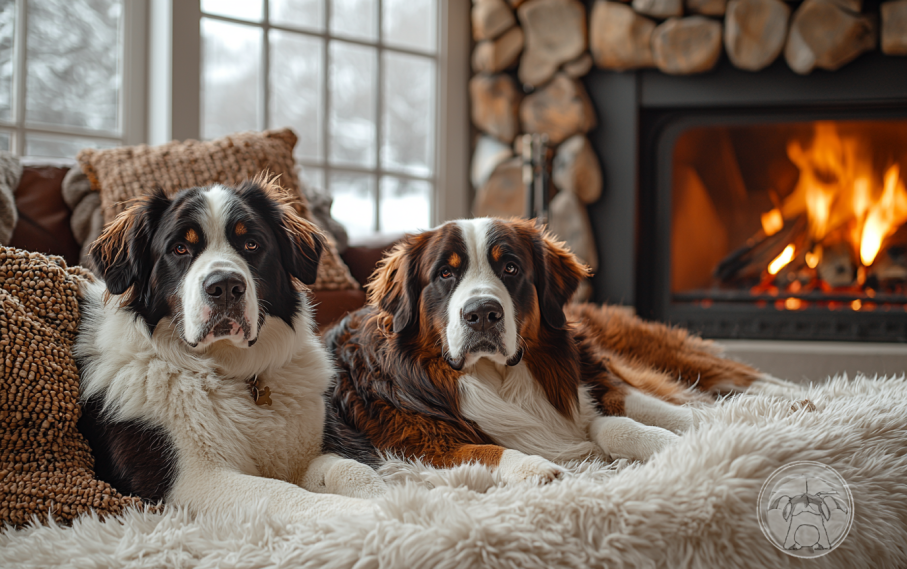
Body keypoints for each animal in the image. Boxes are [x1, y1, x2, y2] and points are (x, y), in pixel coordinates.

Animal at [76, 178, 384, 520]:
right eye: (179, 248)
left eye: (251, 244)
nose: (224, 286)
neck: (232, 371)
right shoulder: (194, 480)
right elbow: (285, 494)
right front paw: (378, 514)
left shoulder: (315, 449)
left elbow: (352, 469)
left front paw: (393, 498)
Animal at [326, 215, 788, 482]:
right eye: (444, 274)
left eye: (510, 268)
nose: (482, 314)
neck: (501, 377)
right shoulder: (417, 445)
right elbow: (486, 449)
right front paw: (538, 468)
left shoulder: (597, 381)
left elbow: (635, 418)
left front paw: (706, 429)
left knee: (745, 379)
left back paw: (793, 403)